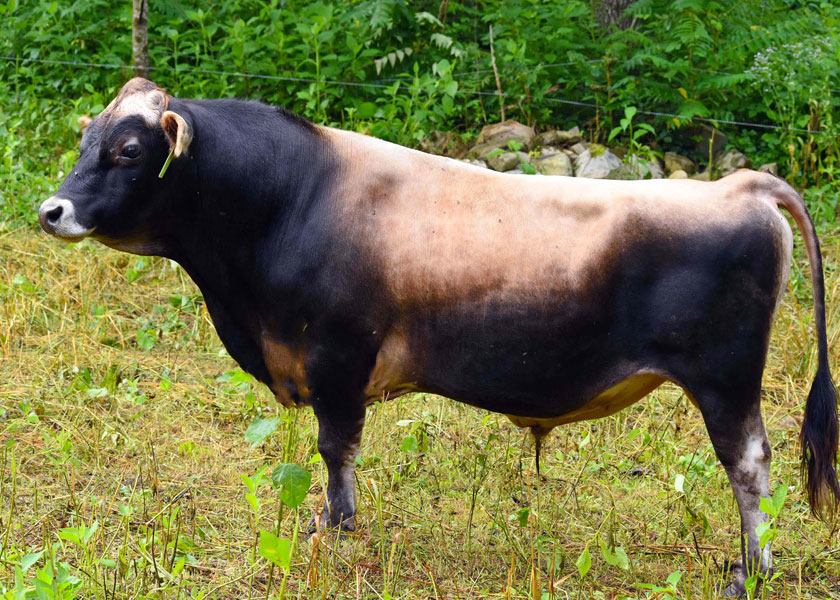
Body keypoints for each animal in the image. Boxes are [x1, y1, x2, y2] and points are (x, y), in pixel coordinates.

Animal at [39, 78, 838, 596]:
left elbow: (336, 452)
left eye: (129, 149)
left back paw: (751, 571)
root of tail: (739, 185)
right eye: (85, 139)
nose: (52, 210)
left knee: (749, 467)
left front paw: (333, 532)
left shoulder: (337, 358)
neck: (290, 198)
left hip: (726, 380)